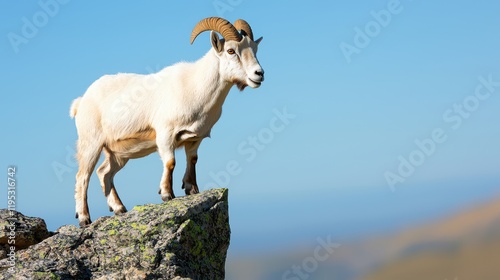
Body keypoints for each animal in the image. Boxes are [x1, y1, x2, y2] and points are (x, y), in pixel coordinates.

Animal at [72, 17, 266, 226]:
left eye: (254, 49)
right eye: (231, 51)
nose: (259, 74)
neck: (195, 88)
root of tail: (81, 102)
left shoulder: (194, 139)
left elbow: (192, 160)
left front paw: (191, 189)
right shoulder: (165, 134)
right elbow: (170, 162)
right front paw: (166, 194)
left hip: (118, 153)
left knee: (104, 173)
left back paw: (119, 208)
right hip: (91, 144)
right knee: (83, 177)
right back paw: (84, 218)